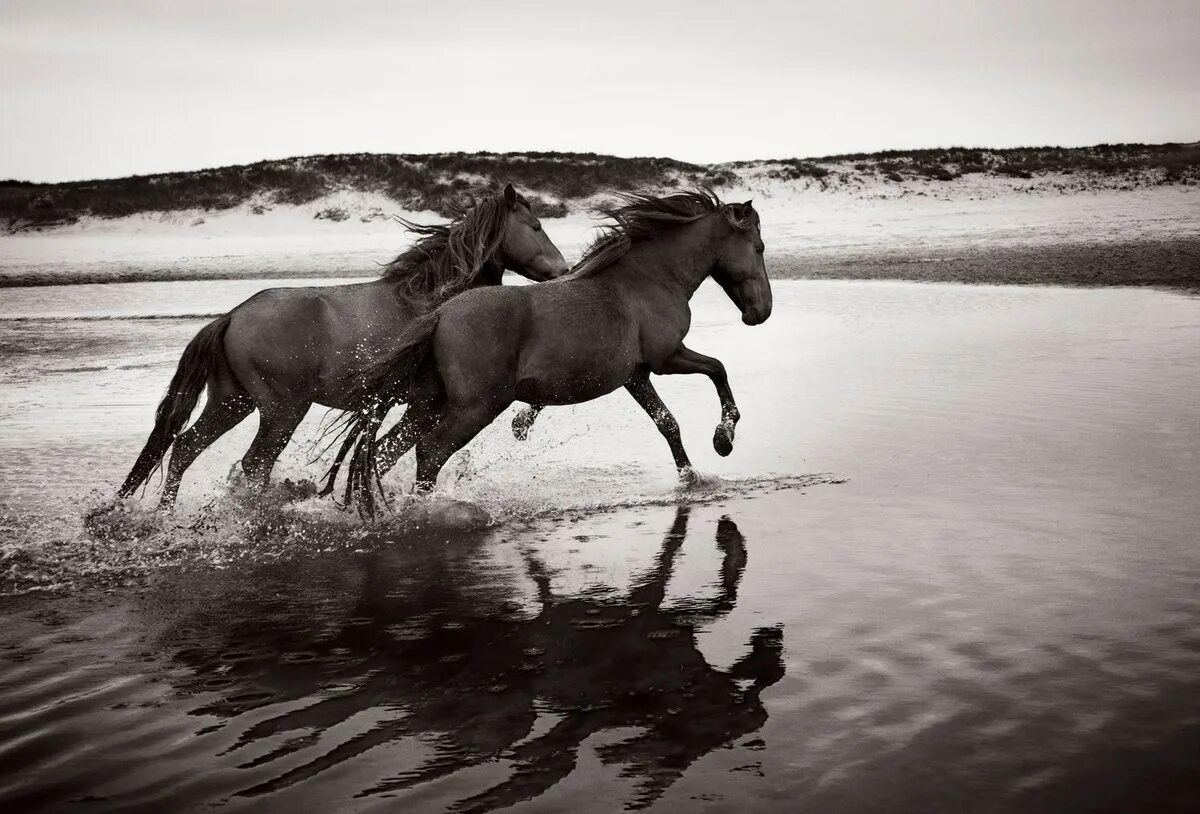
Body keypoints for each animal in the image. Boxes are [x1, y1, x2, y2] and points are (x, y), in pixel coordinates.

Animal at [118, 183, 571, 509]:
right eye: (536, 226)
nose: (563, 269)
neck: (433, 302)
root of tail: (232, 315)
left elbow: (390, 453)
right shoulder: (428, 403)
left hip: (231, 402)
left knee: (184, 448)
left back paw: (166, 514)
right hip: (281, 410)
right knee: (254, 464)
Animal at [333, 190, 772, 509]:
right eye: (760, 248)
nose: (761, 312)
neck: (647, 280)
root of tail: (439, 314)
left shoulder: (636, 376)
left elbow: (668, 423)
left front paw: (691, 478)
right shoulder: (668, 358)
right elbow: (718, 369)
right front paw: (723, 438)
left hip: (430, 403)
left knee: (384, 451)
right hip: (475, 406)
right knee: (429, 452)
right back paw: (424, 509)